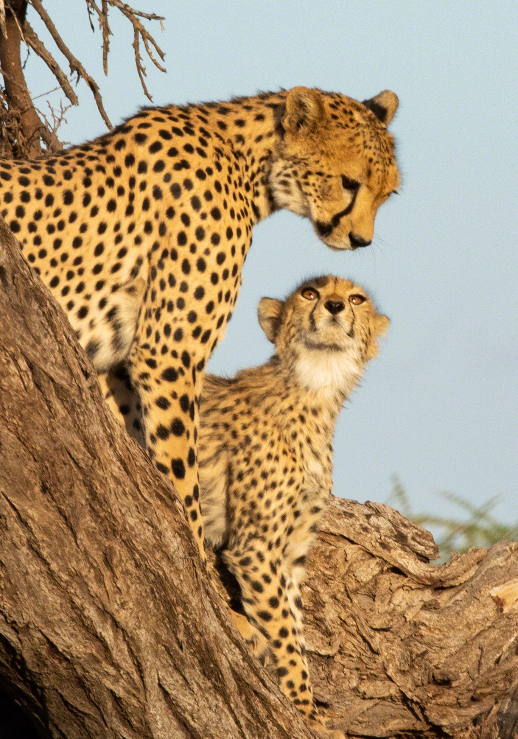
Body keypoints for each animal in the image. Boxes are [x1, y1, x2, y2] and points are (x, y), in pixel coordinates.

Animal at [0, 87, 399, 560]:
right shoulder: (168, 354)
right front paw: (195, 551)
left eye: (387, 194)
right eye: (349, 182)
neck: (249, 161)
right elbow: (179, 464)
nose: (361, 241)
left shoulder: (117, 361)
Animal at [198, 275, 390, 736]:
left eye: (357, 298)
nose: (335, 305)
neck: (315, 389)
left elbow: (296, 625)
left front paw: (310, 704)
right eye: (310, 294)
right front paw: (305, 711)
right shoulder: (255, 547)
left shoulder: (290, 551)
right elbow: (283, 629)